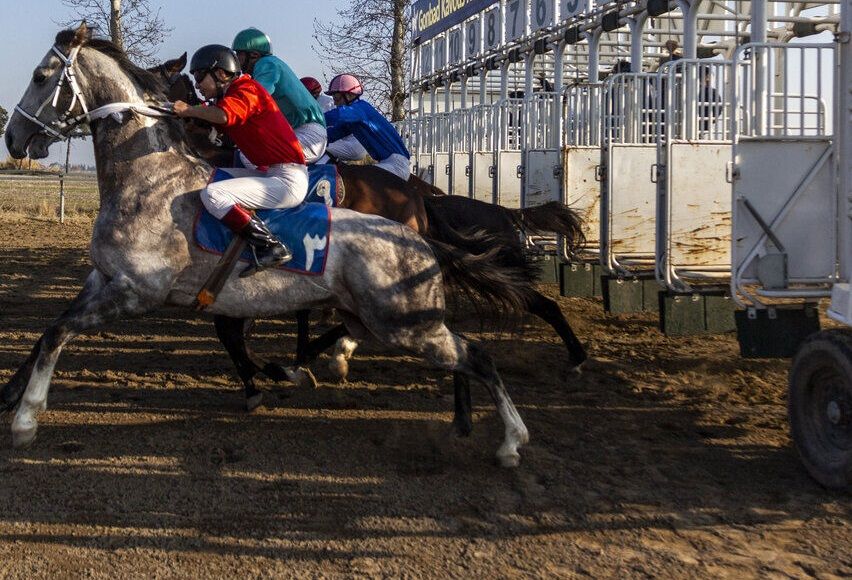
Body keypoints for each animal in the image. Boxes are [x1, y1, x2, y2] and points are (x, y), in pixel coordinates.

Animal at [1, 24, 524, 466]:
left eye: (40, 76)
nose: (13, 138)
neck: (148, 181)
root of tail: (419, 237)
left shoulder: (135, 292)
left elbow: (60, 333)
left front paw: (25, 420)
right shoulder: (103, 278)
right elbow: (49, 331)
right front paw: (11, 396)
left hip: (404, 324)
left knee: (477, 356)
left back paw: (511, 442)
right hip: (389, 320)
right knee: (461, 354)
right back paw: (463, 424)